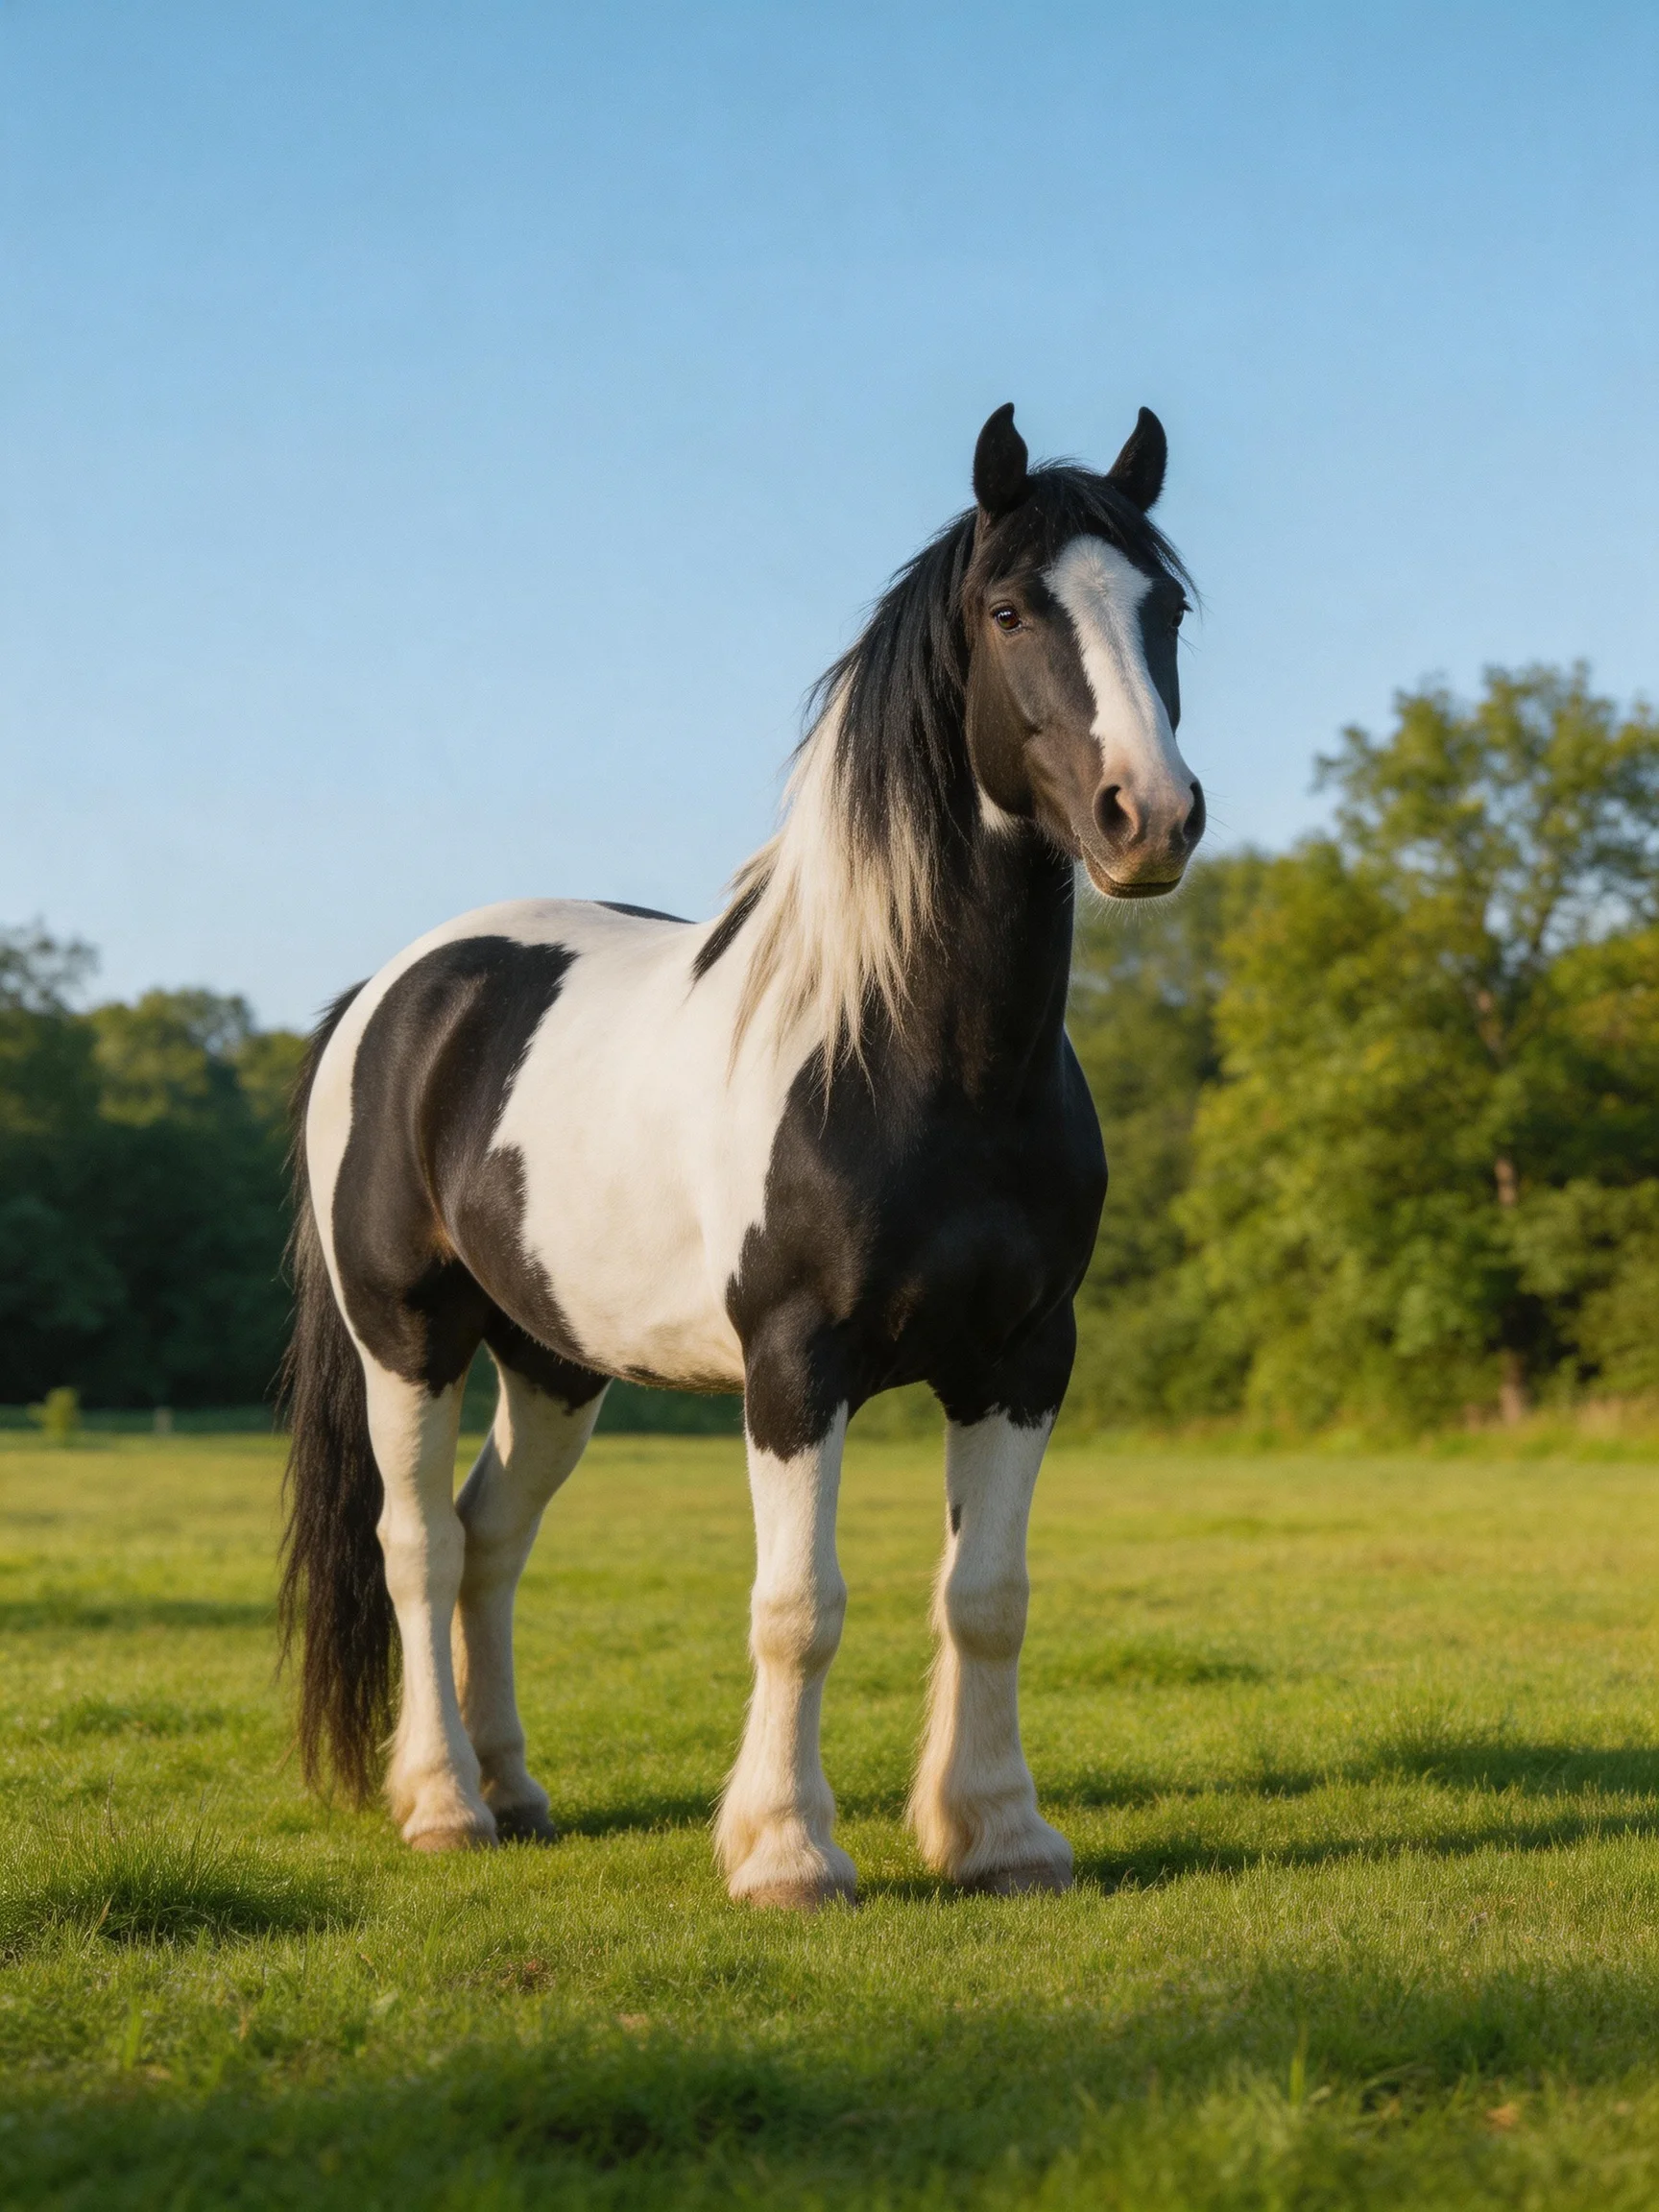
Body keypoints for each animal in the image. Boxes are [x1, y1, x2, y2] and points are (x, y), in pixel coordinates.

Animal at [279, 400, 1203, 1907]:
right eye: (1009, 608)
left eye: (1164, 607)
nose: (1153, 816)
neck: (916, 1058)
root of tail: (401, 987)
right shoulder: (794, 1367)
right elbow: (798, 1608)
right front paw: (787, 1850)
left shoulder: (1021, 1360)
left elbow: (989, 1598)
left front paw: (999, 1832)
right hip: (406, 1339)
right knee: (417, 1546)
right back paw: (444, 1804)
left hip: (555, 1363)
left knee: (492, 1540)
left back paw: (515, 1788)